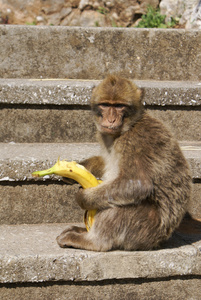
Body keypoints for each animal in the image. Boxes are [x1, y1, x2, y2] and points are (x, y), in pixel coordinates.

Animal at [56, 74, 192, 251]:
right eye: (105, 105)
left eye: (120, 106)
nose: (111, 119)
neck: (127, 128)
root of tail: (160, 241)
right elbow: (106, 162)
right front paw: (77, 169)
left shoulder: (134, 141)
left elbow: (137, 184)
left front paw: (83, 197)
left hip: (144, 231)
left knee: (119, 206)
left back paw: (92, 241)